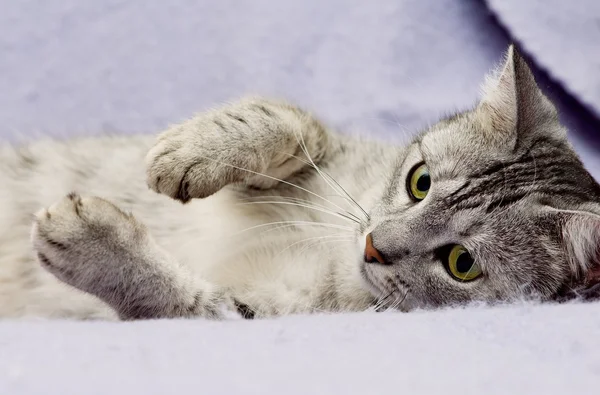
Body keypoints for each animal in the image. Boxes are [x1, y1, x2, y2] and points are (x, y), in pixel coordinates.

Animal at [0, 45, 596, 322]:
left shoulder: (248, 311)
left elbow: (178, 296)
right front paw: (192, 151)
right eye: (420, 181)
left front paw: (91, 242)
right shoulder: (322, 150)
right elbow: (290, 119)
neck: (333, 256)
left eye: (462, 263)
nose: (373, 246)